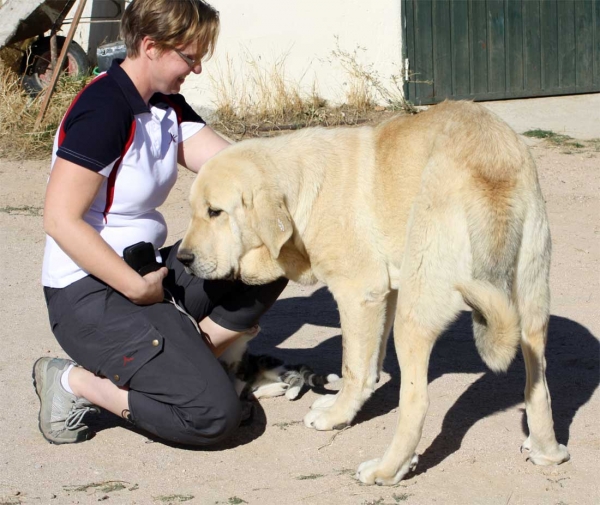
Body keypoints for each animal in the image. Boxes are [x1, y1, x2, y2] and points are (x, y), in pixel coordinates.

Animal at [177, 100, 568, 482]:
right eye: (195, 210)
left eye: (215, 212)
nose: (181, 259)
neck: (305, 190)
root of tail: (489, 159)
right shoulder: (383, 293)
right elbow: (370, 363)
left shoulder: (358, 292)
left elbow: (354, 368)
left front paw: (336, 416)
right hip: (531, 307)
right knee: (540, 386)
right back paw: (547, 451)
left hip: (415, 312)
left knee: (417, 401)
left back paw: (387, 470)